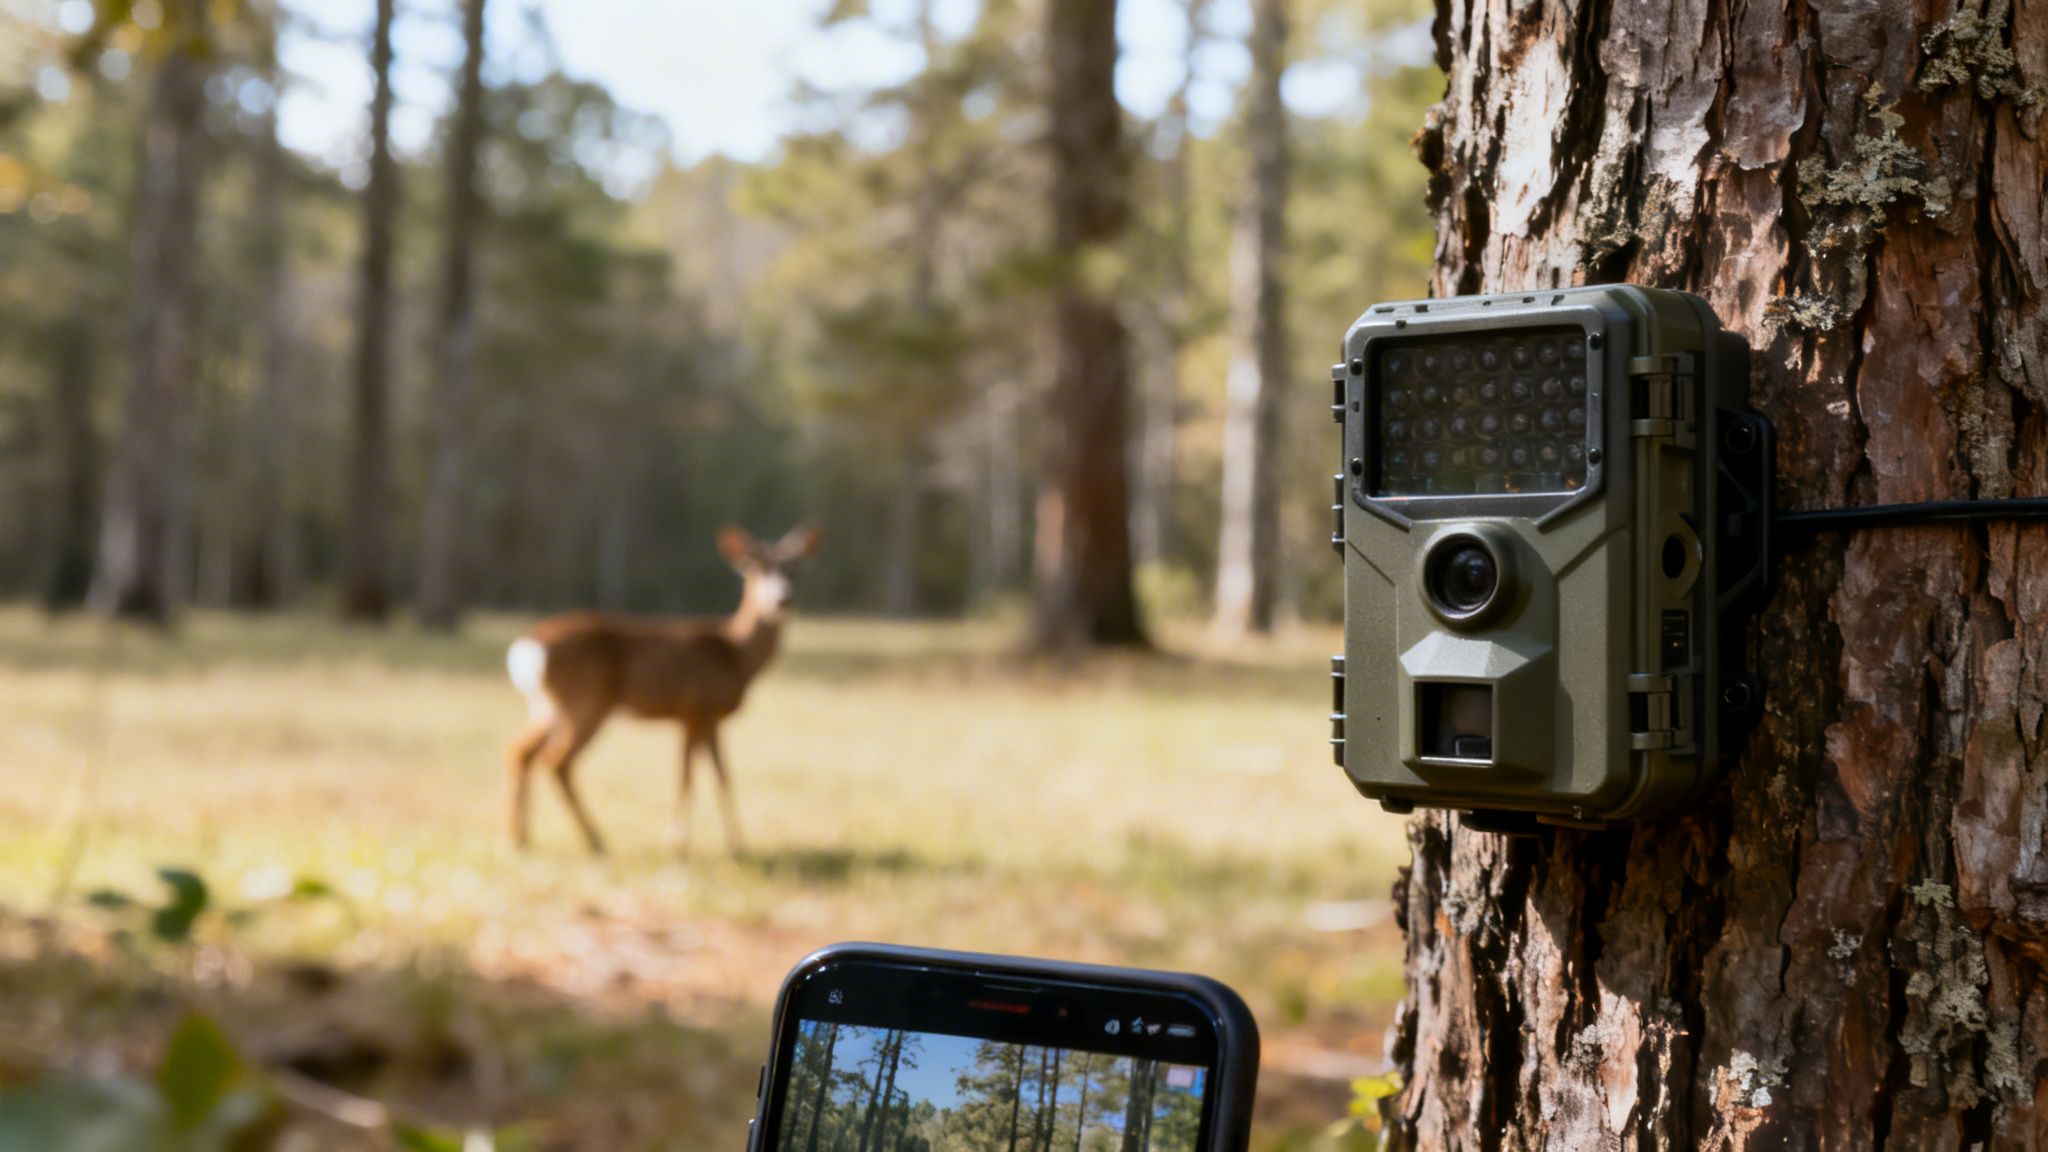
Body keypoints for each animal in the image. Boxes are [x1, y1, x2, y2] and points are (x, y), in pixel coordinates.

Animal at [504, 523, 822, 856]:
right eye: (754, 567)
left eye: (795, 568)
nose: (781, 600)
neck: (735, 654)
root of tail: (527, 646)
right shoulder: (693, 710)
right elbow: (687, 777)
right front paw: (677, 844)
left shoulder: (708, 718)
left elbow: (722, 775)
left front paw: (737, 844)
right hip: (585, 701)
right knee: (556, 761)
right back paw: (595, 841)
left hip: (546, 707)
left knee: (520, 751)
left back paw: (520, 837)